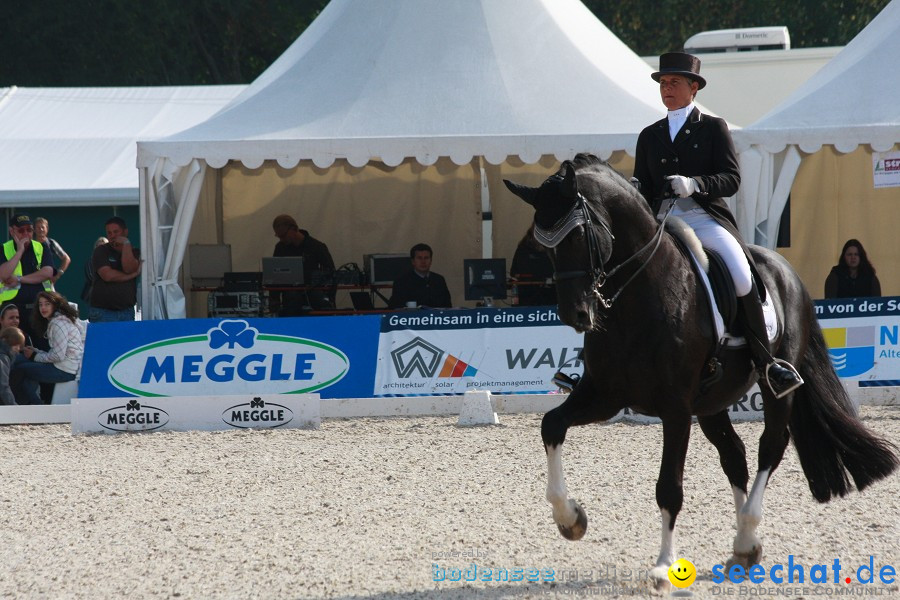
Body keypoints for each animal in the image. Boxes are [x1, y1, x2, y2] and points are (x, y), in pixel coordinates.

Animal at [502, 154, 896, 584]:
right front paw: (570, 518)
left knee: (769, 448)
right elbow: (551, 424)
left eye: (576, 237)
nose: (575, 314)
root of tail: (783, 267)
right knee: (735, 456)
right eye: (545, 248)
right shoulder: (604, 395)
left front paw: (663, 565)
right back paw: (745, 549)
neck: (636, 300)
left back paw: (747, 533)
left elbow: (669, 488)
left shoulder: (675, 410)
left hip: (774, 387)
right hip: (712, 403)